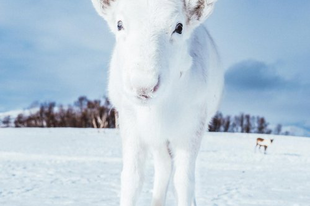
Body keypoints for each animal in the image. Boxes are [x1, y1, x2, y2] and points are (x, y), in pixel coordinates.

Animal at [91, 0, 223, 206]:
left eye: (179, 27)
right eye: (119, 24)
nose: (143, 86)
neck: (158, 110)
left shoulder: (193, 126)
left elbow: (184, 182)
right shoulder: (131, 123)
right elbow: (132, 178)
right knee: (163, 167)